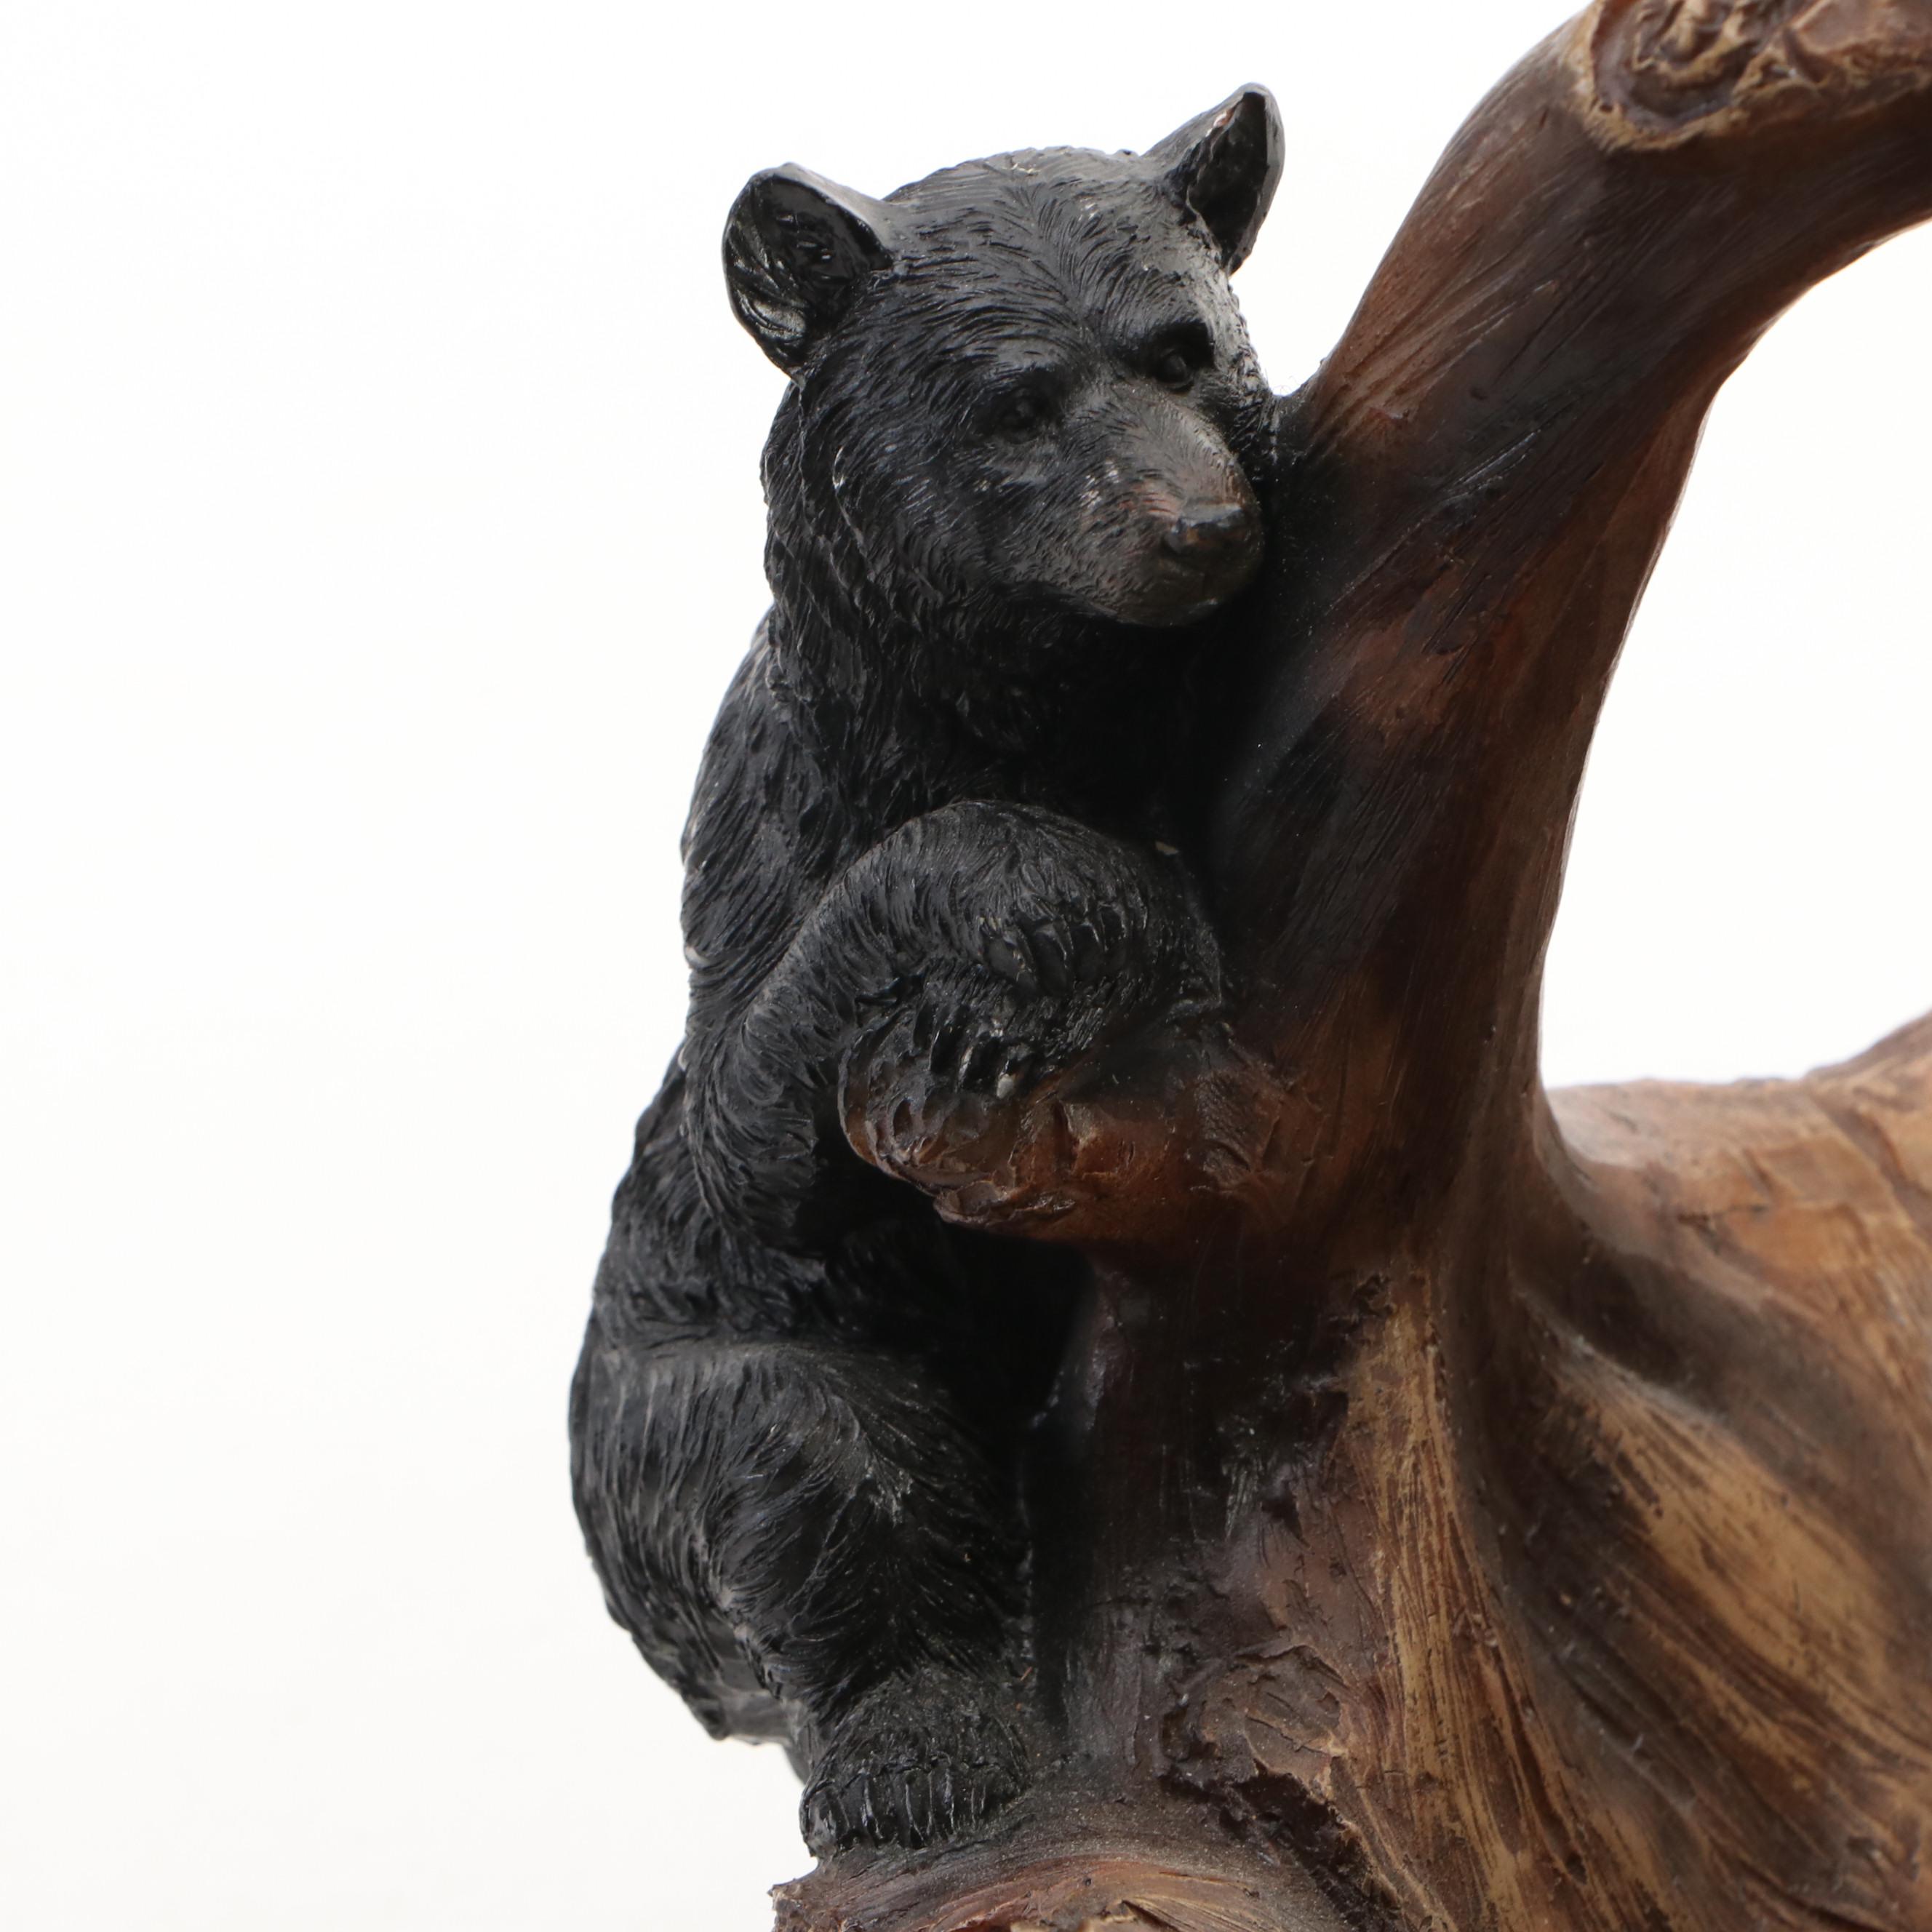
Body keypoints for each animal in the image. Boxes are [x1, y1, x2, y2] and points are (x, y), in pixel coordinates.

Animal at [569, 84, 1284, 1857]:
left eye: (1186, 352)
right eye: (1019, 396)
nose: (1200, 527)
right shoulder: (759, 833)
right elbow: (756, 1129)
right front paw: (1056, 936)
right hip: (658, 1405)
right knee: (813, 1446)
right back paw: (919, 1754)